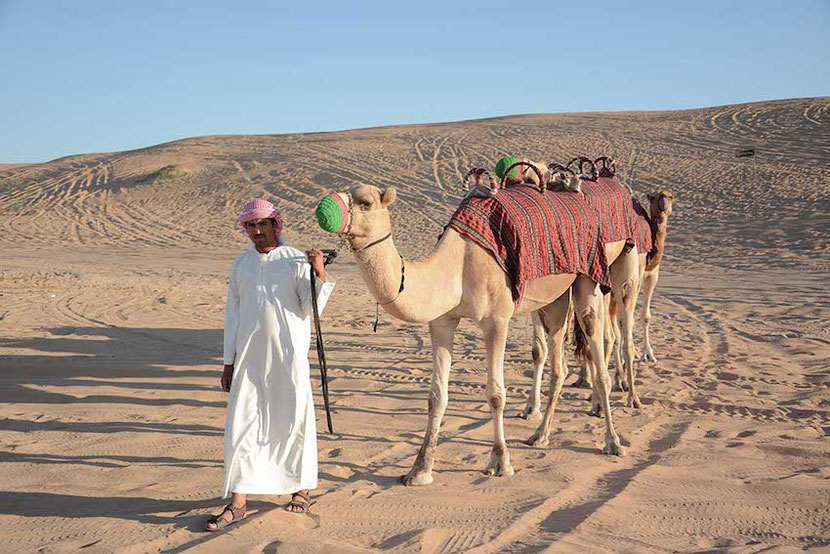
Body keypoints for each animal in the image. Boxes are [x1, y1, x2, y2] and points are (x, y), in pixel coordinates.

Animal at [316, 160, 632, 484]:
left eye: (366, 202)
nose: (324, 208)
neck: (456, 266)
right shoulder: (442, 321)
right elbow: (435, 396)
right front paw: (420, 469)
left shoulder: (497, 319)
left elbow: (495, 394)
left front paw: (500, 461)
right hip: (554, 298)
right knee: (559, 364)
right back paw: (540, 435)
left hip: (590, 277)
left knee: (598, 350)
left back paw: (612, 441)